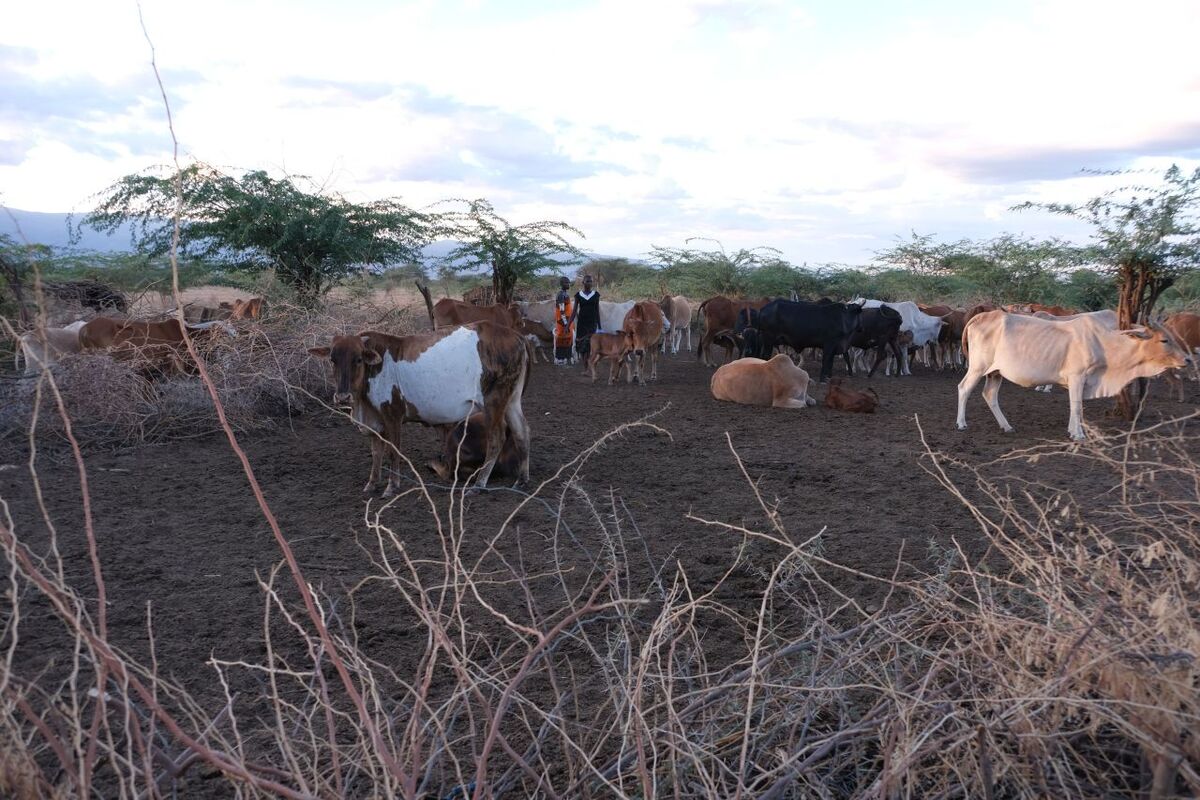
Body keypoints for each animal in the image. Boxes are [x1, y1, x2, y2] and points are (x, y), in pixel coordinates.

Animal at [309, 319, 530, 494]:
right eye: (332, 360)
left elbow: (393, 452)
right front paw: (372, 484)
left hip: (494, 400)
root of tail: (516, 336)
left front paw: (391, 486)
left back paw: (479, 484)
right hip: (511, 400)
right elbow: (376, 453)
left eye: (358, 359)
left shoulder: (393, 416)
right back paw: (522, 480)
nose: (342, 396)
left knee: (496, 439)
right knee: (521, 432)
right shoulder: (375, 423)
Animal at [955, 309, 1190, 441]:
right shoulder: (1077, 376)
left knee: (990, 394)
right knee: (964, 388)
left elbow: (1076, 407)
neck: (1103, 343)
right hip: (978, 367)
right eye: (1164, 340)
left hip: (995, 372)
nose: (1186, 359)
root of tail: (982, 315)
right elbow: (1076, 406)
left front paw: (1072, 430)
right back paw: (961, 423)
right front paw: (1078, 434)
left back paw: (1006, 426)